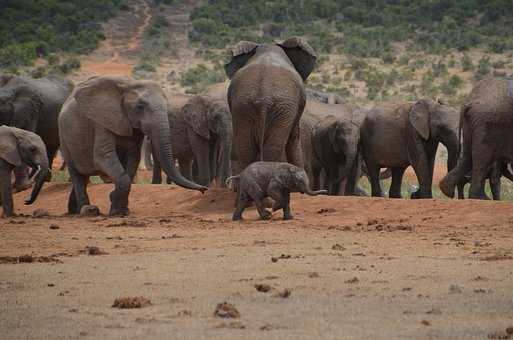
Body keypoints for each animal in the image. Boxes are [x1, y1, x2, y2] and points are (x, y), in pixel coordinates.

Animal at [58, 76, 206, 216]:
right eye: (140, 106)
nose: (204, 190)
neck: (128, 85)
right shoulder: (103, 120)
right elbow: (103, 156)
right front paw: (116, 209)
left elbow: (133, 157)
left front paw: (121, 209)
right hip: (64, 139)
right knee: (77, 175)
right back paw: (86, 210)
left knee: (83, 177)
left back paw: (73, 210)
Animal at [224, 37, 316, 173]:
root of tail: (264, 98)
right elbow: (294, 138)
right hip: (281, 110)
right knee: (272, 150)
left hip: (244, 107)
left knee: (245, 151)